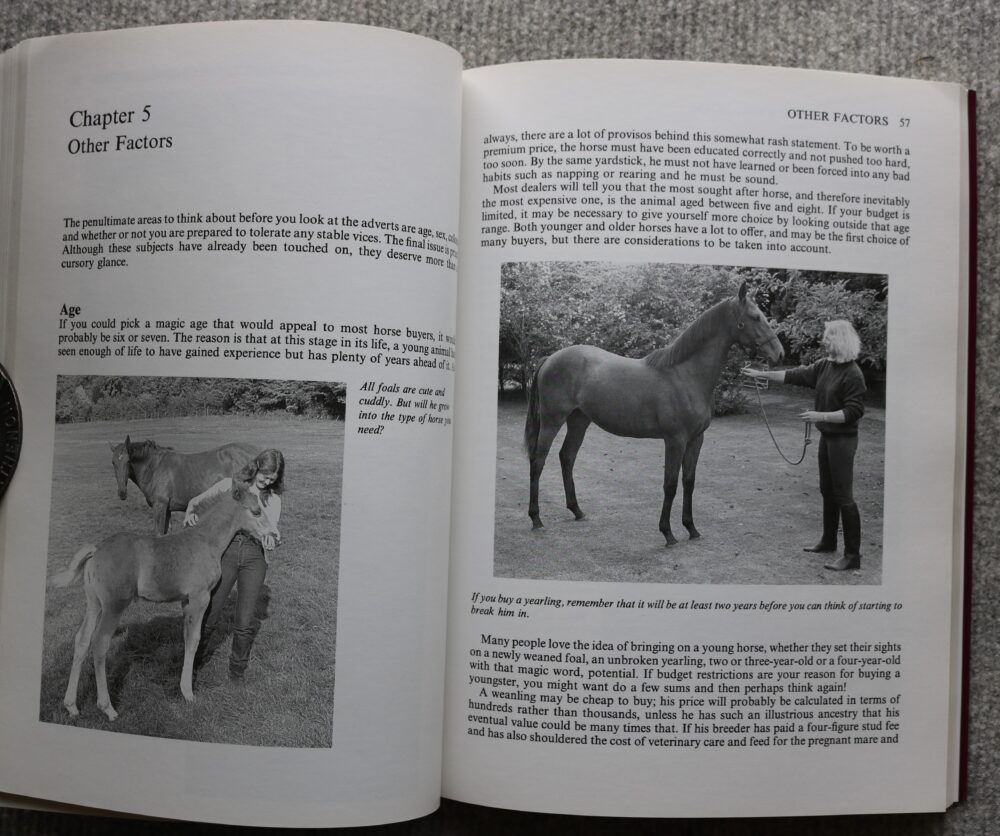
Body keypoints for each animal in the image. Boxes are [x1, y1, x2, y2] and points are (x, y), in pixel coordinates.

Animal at [51, 482, 277, 721]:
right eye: (256, 511)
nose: (274, 535)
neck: (205, 541)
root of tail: (96, 550)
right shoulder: (199, 597)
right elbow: (193, 639)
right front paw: (188, 693)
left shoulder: (187, 602)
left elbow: (189, 638)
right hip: (114, 605)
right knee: (100, 642)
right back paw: (108, 708)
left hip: (94, 604)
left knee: (82, 640)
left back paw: (71, 706)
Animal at [111, 437, 257, 534]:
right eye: (113, 462)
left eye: (128, 461)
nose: (122, 493)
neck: (154, 468)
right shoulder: (167, 509)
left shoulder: (160, 506)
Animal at [524, 281, 783, 546]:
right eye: (755, 317)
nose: (779, 354)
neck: (685, 375)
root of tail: (550, 358)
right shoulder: (675, 440)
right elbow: (670, 485)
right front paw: (668, 533)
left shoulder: (696, 439)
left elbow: (688, 482)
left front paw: (691, 528)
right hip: (552, 421)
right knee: (538, 461)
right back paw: (536, 519)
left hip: (579, 421)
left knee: (567, 457)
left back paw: (577, 510)